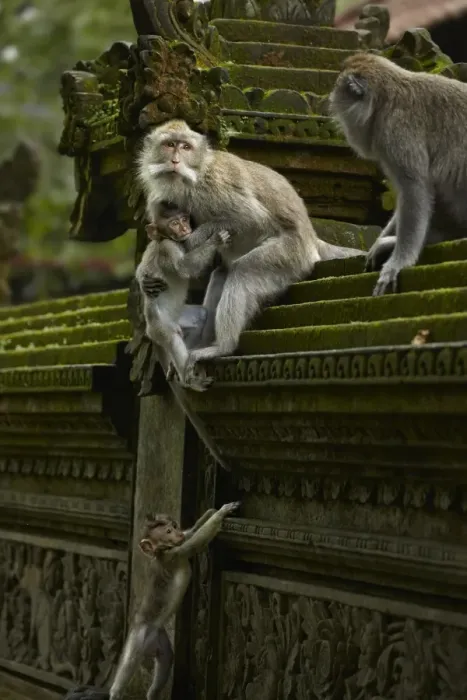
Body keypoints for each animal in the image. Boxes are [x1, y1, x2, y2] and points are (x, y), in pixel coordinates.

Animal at [109, 502, 240, 700]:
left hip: (159, 640)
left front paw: (210, 512)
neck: (161, 552)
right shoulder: (173, 555)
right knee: (128, 664)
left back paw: (152, 694)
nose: (177, 533)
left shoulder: (175, 549)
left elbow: (191, 534)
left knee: (165, 661)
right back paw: (115, 693)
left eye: (175, 526)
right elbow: (195, 543)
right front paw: (220, 513)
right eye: (168, 531)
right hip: (137, 637)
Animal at [135, 202, 231, 391]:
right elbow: (184, 268)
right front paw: (215, 239)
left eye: (184, 219)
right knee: (172, 339)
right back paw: (189, 380)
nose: (185, 228)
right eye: (174, 223)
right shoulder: (167, 248)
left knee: (199, 317)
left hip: (179, 317)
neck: (168, 239)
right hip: (159, 327)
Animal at [329, 51, 467, 296]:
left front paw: (398, 262)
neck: (386, 98)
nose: (330, 99)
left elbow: (414, 190)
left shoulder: (396, 133)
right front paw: (380, 242)